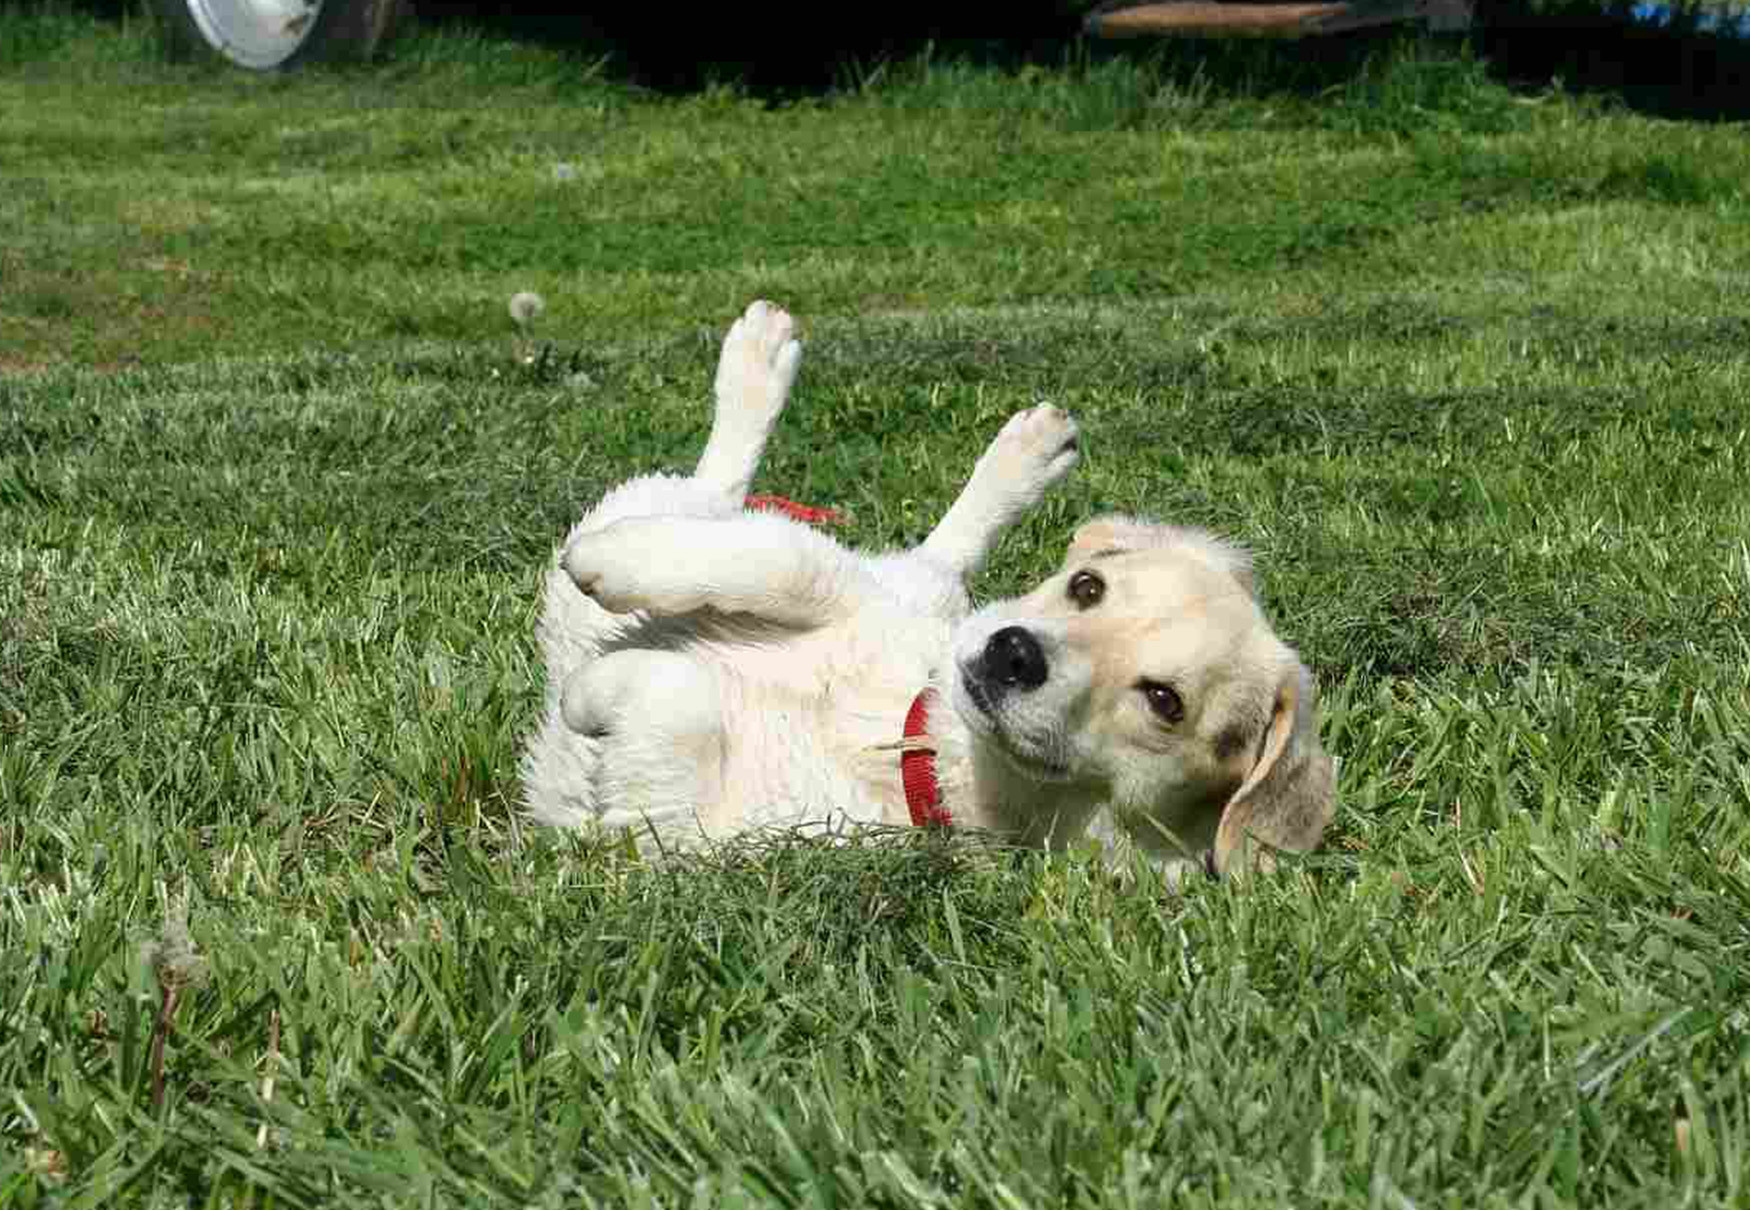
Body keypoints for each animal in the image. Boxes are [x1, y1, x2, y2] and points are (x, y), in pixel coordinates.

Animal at [521, 301, 1337, 879]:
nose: (1014, 653)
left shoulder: (684, 840)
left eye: (1165, 702)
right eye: (1086, 586)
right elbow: (788, 562)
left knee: (723, 492)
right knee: (794, 519)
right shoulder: (849, 600)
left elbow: (671, 697)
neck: (909, 737)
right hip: (900, 587)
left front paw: (589, 689)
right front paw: (615, 563)